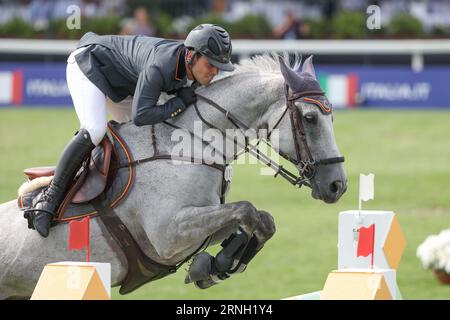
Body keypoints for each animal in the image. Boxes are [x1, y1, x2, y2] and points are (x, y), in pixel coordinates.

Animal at [0, 53, 348, 298]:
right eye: (310, 118)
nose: (337, 186)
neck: (192, 146)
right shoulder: (168, 236)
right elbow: (248, 210)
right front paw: (216, 267)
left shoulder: (202, 221)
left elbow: (261, 220)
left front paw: (213, 268)